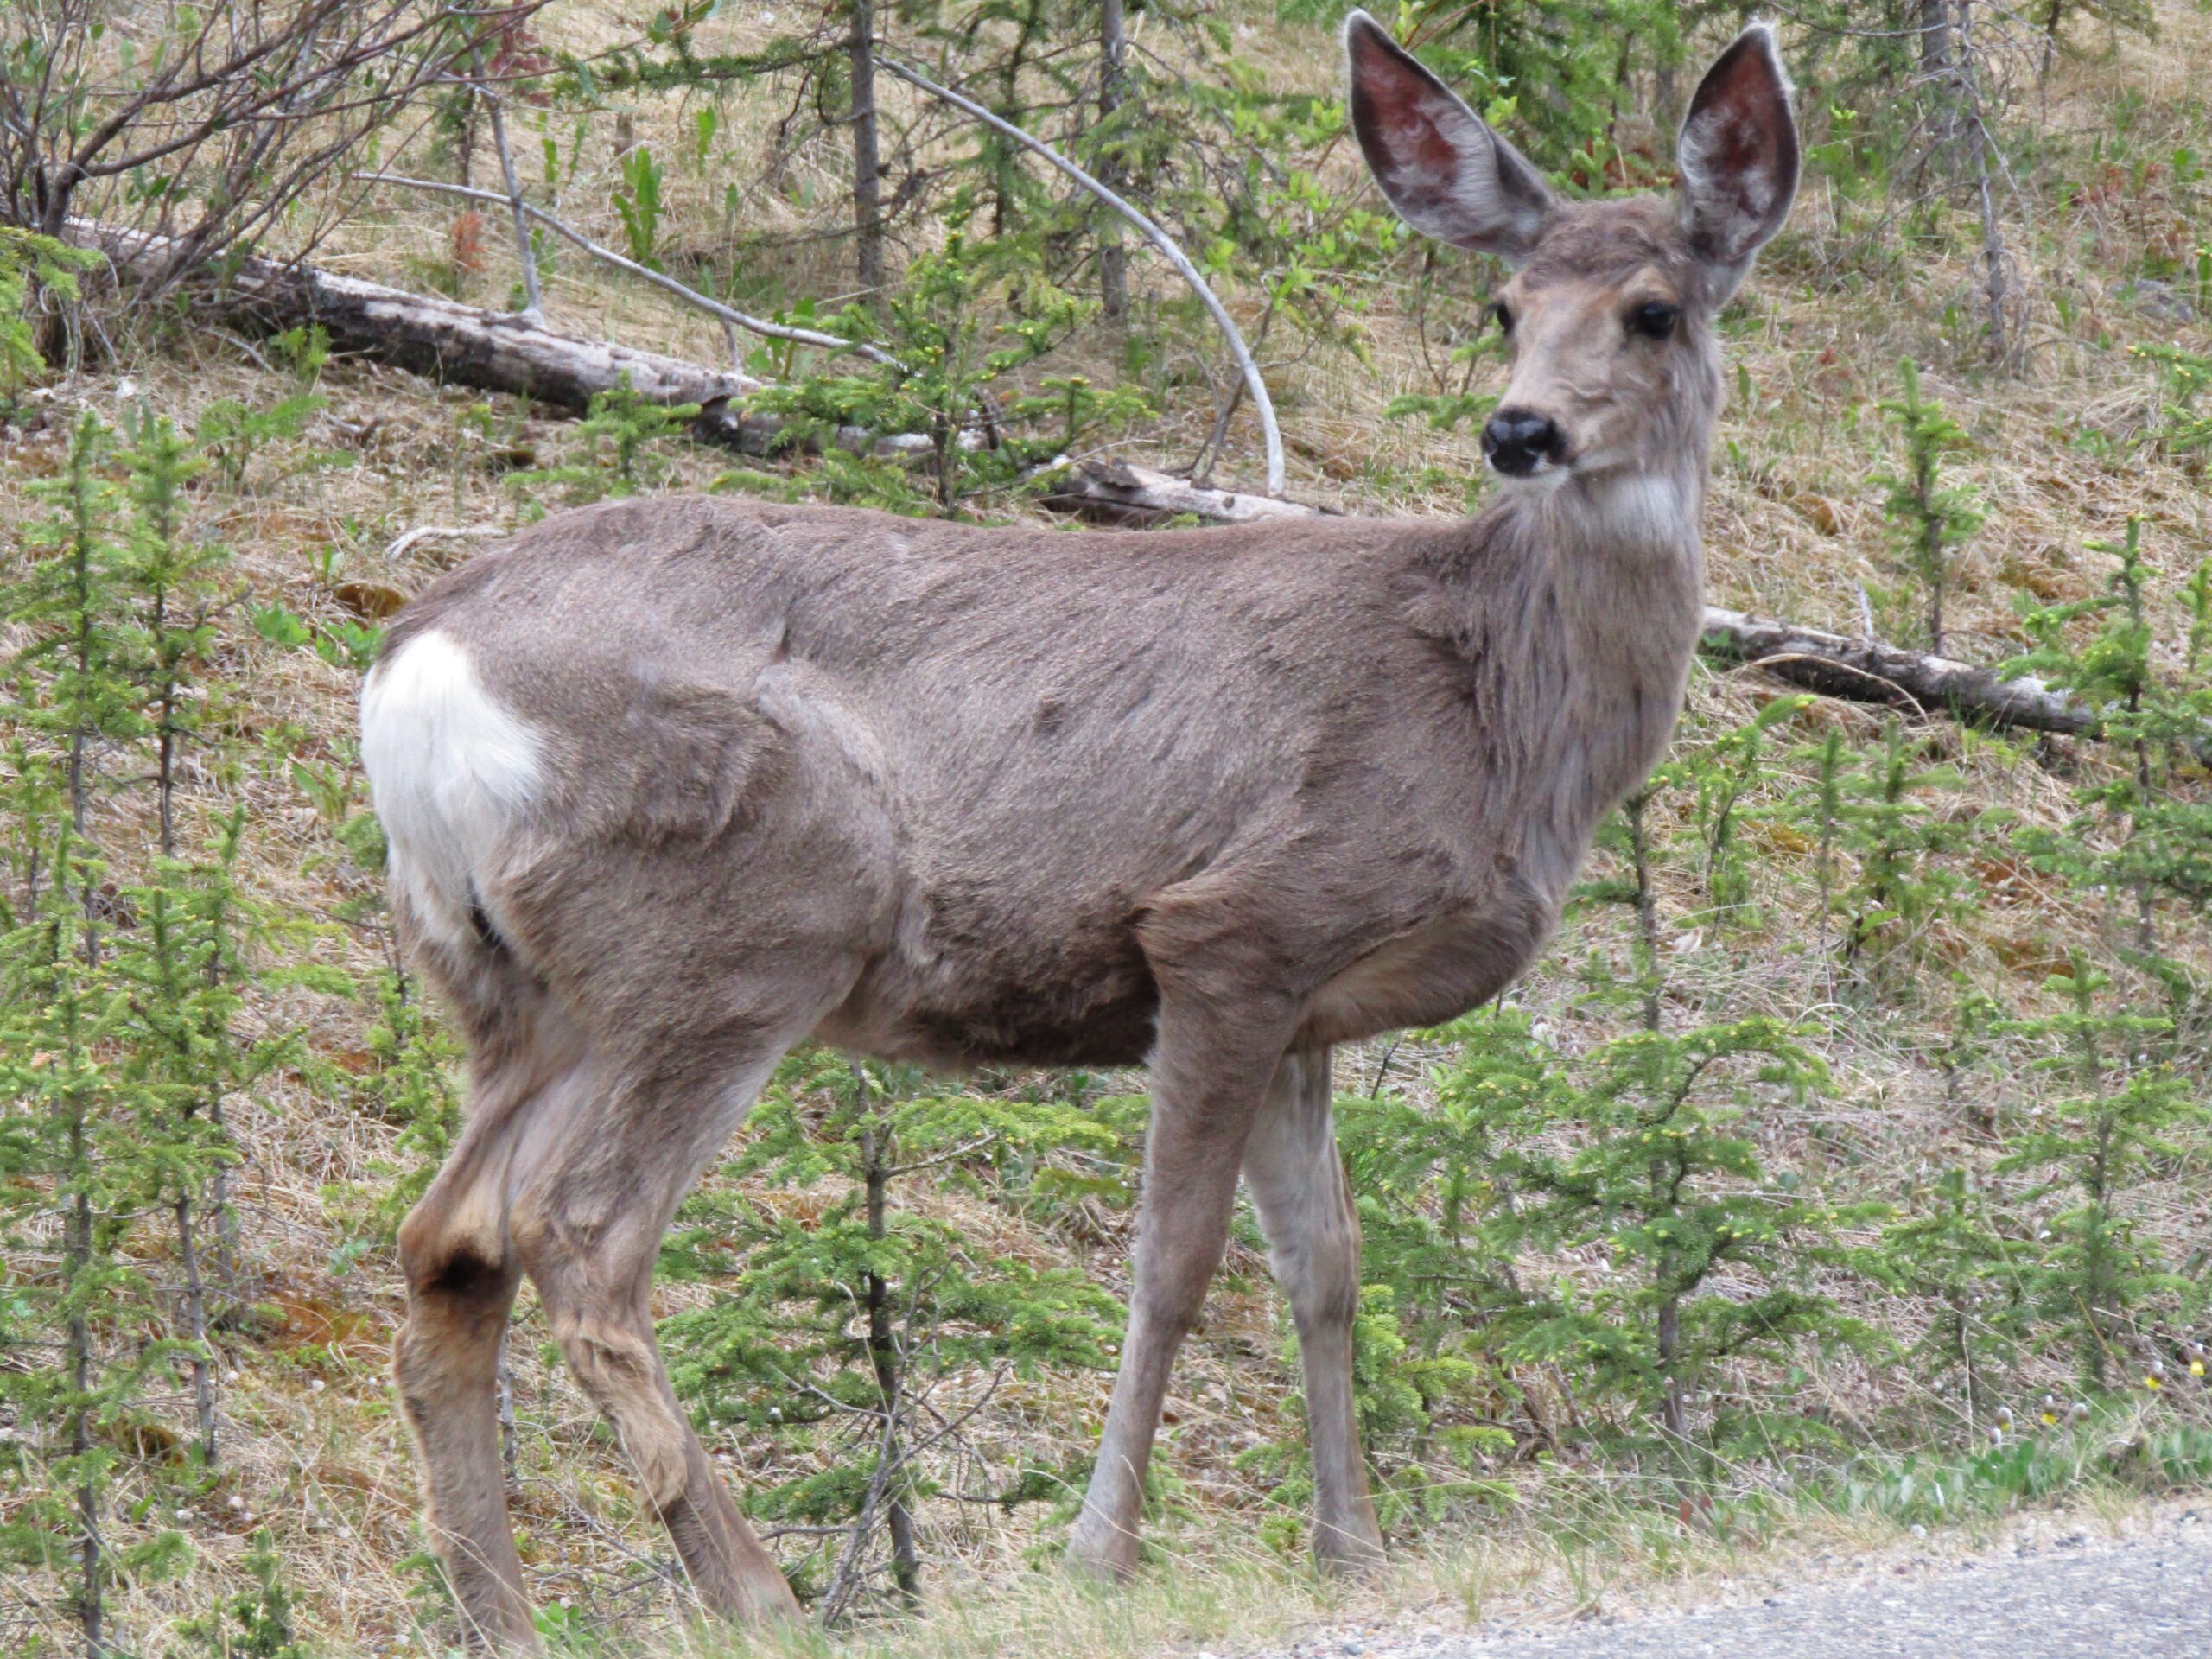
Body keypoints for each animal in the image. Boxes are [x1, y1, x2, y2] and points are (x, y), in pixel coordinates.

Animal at [366, 16, 1796, 1654]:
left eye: (1652, 311)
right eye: (1504, 306)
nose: (1521, 429)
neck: (1499, 706)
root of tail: (414, 672)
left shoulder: (1306, 1004)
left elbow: (1327, 1268)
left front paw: (1353, 1550)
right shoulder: (1230, 926)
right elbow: (1174, 1264)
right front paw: (1101, 1554)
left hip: (509, 986)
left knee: (449, 1243)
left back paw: (500, 1612)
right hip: (738, 924)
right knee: (579, 1236)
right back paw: (760, 1593)